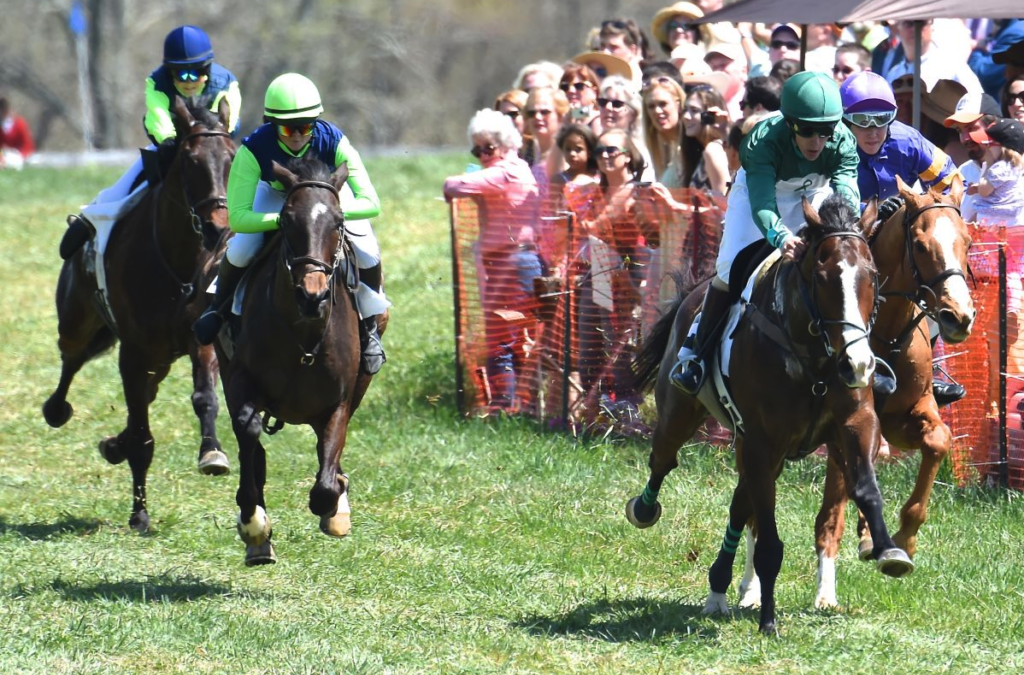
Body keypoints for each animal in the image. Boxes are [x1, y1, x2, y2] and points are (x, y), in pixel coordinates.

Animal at [43, 97, 236, 533]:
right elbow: (144, 437)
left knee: (143, 396)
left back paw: (116, 444)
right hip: (80, 323)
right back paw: (57, 410)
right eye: (190, 161)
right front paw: (140, 515)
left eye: (233, 158)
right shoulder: (133, 352)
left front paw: (212, 454)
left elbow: (205, 397)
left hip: (159, 358)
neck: (179, 265)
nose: (219, 229)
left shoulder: (201, 338)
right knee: (72, 358)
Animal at [212, 155, 380, 566]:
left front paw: (335, 506)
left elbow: (326, 482)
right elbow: (249, 434)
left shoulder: (340, 400)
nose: (312, 295)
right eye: (286, 220)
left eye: (338, 220)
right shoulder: (239, 380)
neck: (303, 334)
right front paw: (253, 523)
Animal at [626, 194, 912, 634]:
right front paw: (768, 622)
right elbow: (769, 544)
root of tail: (693, 294)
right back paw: (644, 510)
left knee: (739, 504)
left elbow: (866, 487)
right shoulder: (762, 441)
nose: (860, 364)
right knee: (663, 459)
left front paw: (888, 550)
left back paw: (718, 589)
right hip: (683, 415)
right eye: (822, 277)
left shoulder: (856, 423)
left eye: (873, 276)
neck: (813, 358)